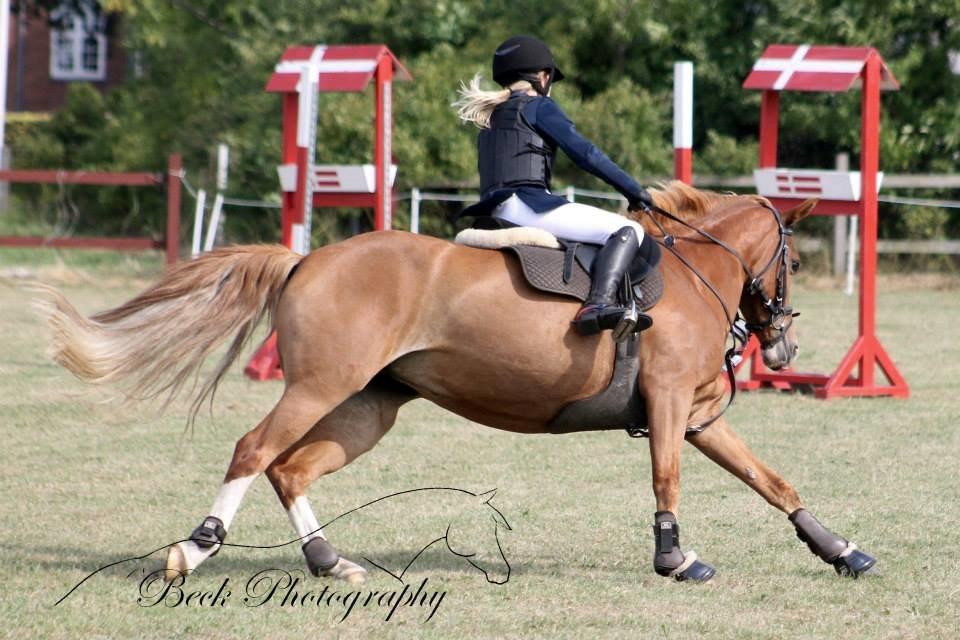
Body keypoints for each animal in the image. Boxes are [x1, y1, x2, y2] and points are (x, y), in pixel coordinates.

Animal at [38, 182, 876, 584]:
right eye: (792, 260)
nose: (785, 341)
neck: (696, 274)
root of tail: (307, 259)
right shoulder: (670, 408)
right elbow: (667, 481)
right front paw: (676, 560)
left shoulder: (700, 416)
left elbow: (774, 483)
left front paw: (840, 550)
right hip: (320, 387)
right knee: (253, 450)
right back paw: (196, 549)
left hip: (367, 407)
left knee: (291, 468)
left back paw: (330, 561)